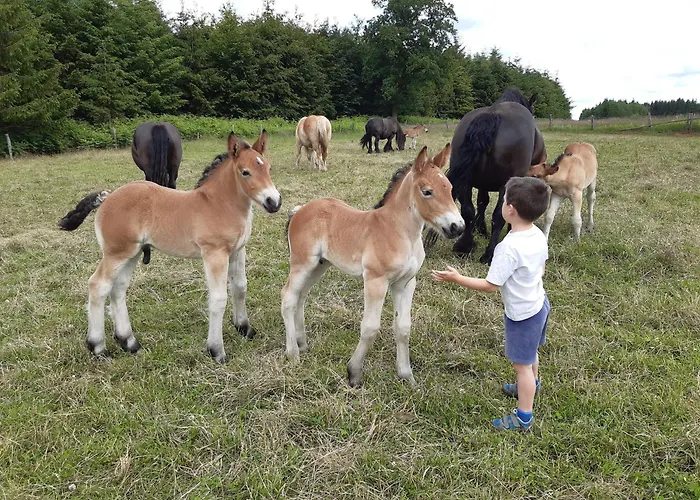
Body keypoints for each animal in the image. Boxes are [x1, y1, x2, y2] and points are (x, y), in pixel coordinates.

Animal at [57, 131, 281, 363]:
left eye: (268, 168)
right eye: (245, 172)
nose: (274, 202)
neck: (218, 204)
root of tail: (107, 197)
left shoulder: (237, 251)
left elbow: (240, 287)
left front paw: (244, 328)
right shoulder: (215, 254)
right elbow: (218, 299)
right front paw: (216, 350)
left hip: (132, 253)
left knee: (118, 289)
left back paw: (129, 342)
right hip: (116, 253)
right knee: (98, 285)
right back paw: (98, 347)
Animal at [280, 144, 463, 387]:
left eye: (450, 188)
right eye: (427, 191)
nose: (457, 227)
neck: (399, 231)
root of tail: (299, 210)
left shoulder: (405, 283)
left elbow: (403, 327)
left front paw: (406, 375)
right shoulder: (376, 281)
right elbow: (369, 327)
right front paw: (354, 373)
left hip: (320, 265)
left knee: (301, 297)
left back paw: (302, 344)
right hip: (302, 263)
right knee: (288, 297)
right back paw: (293, 353)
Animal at [424, 87, 546, 264]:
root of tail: (492, 115)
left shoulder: (481, 184)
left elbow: (482, 202)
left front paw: (480, 229)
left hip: (466, 182)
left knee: (468, 211)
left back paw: (464, 247)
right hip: (505, 185)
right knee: (498, 216)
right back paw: (489, 253)